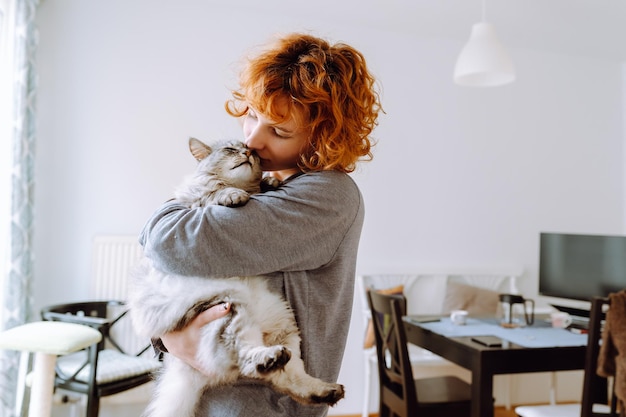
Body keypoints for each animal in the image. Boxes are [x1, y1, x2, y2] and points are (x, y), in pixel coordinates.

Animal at [129, 137, 344, 416]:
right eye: (230, 150)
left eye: (250, 150)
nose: (247, 153)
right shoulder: (195, 201)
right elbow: (215, 193)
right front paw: (233, 195)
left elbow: (259, 185)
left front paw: (270, 181)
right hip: (230, 314)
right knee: (252, 362)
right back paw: (274, 360)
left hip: (284, 326)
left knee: (288, 376)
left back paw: (325, 390)